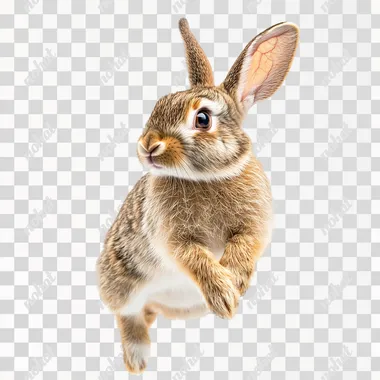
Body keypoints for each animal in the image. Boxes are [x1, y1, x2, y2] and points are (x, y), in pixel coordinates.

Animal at [98, 18, 300, 374]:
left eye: (202, 119)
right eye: (159, 104)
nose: (148, 145)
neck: (205, 177)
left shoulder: (254, 226)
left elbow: (244, 244)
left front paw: (234, 281)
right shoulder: (172, 237)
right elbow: (194, 257)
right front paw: (224, 294)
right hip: (122, 283)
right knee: (128, 315)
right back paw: (137, 360)